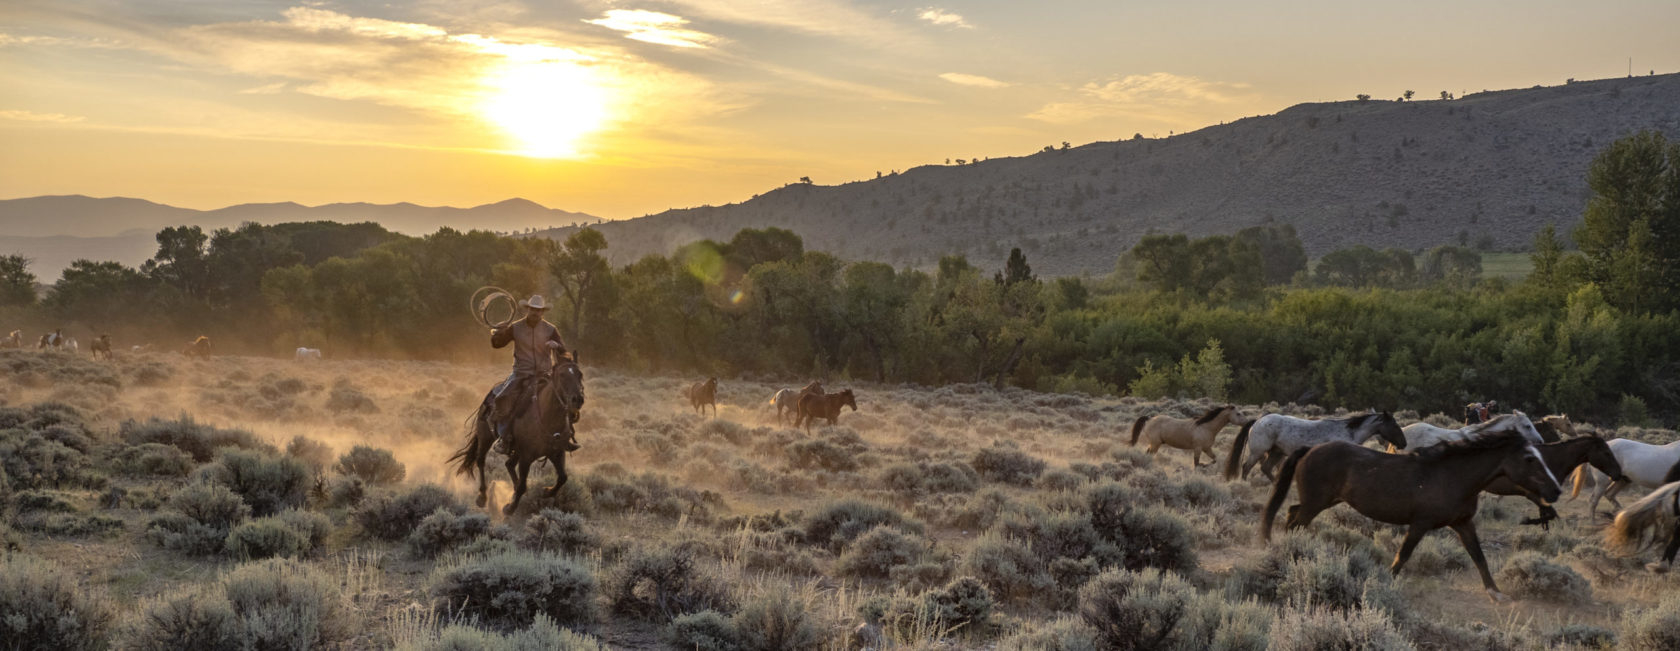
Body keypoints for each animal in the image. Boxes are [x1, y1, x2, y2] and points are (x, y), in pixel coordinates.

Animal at [450, 354, 588, 516]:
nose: (577, 399)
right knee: (481, 461)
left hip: (516, 449)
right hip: (486, 437)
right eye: (562, 375)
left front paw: (546, 492)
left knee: (509, 464)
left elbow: (563, 477)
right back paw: (482, 497)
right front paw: (509, 508)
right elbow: (523, 484)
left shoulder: (557, 452)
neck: (548, 417)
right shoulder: (527, 456)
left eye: (580, 375)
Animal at [1223, 409, 1404, 479]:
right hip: (1258, 452)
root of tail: (1257, 421)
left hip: (1277, 452)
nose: (1403, 443)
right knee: (1246, 467)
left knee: (1265, 468)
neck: (1348, 432)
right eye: (1394, 425)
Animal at [1263, 429, 1565, 604]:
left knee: (1291, 515)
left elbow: (1479, 557)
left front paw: (1496, 593)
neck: (1453, 477)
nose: (1556, 490)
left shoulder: (1463, 523)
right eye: (1529, 458)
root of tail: (1310, 450)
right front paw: (1382, 585)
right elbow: (1402, 557)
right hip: (1316, 502)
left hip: (1321, 502)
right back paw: (1286, 554)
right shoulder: (1420, 524)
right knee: (1293, 521)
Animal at [1491, 432, 1619, 530]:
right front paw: (1526, 521)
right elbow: (1552, 515)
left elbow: (1549, 515)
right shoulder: (1535, 495)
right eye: (1607, 452)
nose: (1618, 473)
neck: (1550, 460)